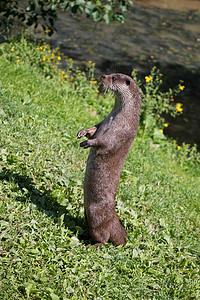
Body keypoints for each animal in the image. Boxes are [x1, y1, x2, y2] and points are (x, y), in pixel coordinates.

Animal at [76, 72, 141, 246]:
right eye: (112, 73)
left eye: (114, 77)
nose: (103, 75)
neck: (117, 117)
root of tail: (113, 219)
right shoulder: (104, 119)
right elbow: (94, 128)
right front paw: (84, 132)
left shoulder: (120, 131)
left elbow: (105, 142)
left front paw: (88, 143)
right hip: (86, 210)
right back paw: (84, 234)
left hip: (95, 213)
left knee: (103, 236)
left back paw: (93, 244)